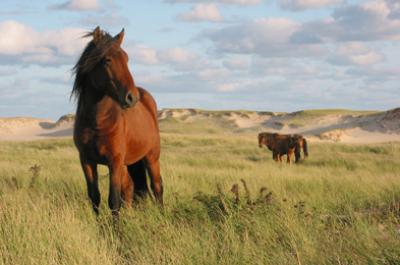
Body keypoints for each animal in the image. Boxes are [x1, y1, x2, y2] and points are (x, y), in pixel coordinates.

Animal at [72, 26, 162, 214]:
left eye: (127, 58)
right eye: (107, 60)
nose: (132, 97)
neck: (97, 123)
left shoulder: (115, 161)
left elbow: (113, 200)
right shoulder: (87, 161)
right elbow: (95, 197)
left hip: (152, 158)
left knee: (157, 187)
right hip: (130, 164)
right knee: (130, 189)